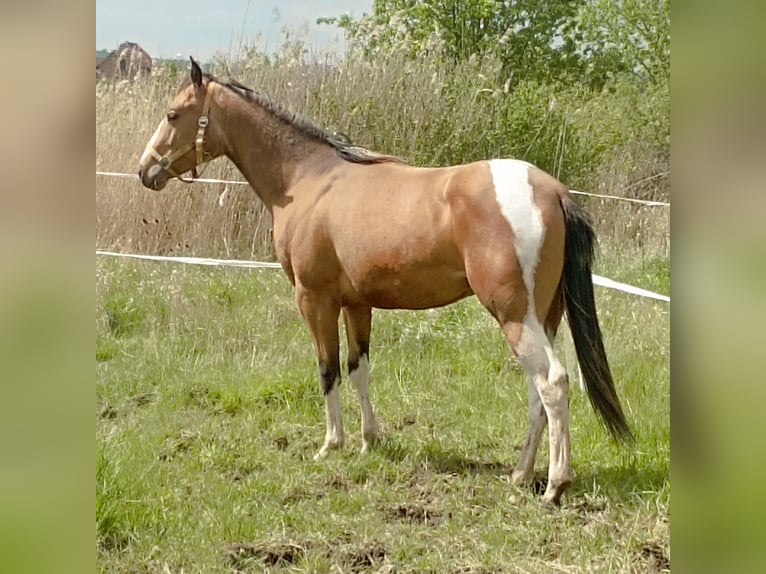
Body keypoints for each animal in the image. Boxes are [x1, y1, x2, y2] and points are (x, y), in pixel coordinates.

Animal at [140, 58, 636, 506]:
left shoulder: (314, 300)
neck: (308, 180)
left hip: (514, 315)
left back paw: (554, 486)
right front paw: (369, 440)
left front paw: (331, 445)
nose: (146, 170)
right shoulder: (356, 304)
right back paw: (520, 475)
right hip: (543, 317)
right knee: (538, 389)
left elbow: (328, 368)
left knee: (552, 382)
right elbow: (358, 368)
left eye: (173, 114)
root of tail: (551, 190)